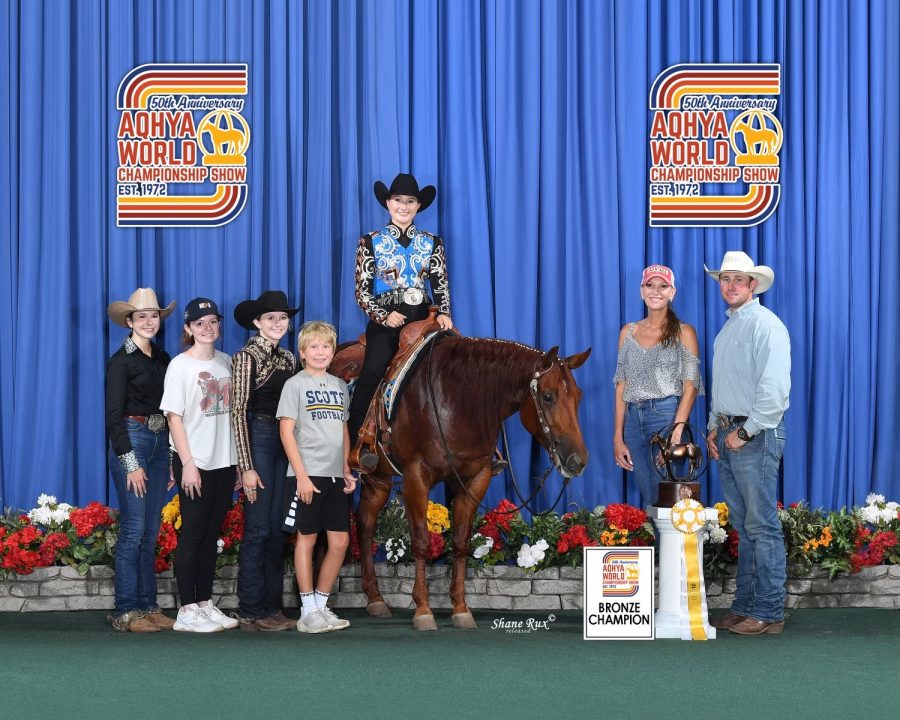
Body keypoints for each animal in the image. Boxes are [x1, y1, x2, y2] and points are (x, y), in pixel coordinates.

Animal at [358, 338, 592, 632]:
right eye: (548, 396)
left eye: (579, 397)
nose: (577, 461)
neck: (455, 399)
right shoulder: (415, 476)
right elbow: (421, 541)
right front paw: (423, 609)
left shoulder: (475, 479)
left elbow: (460, 542)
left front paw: (460, 608)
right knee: (365, 526)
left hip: (379, 478)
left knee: (365, 524)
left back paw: (375, 599)